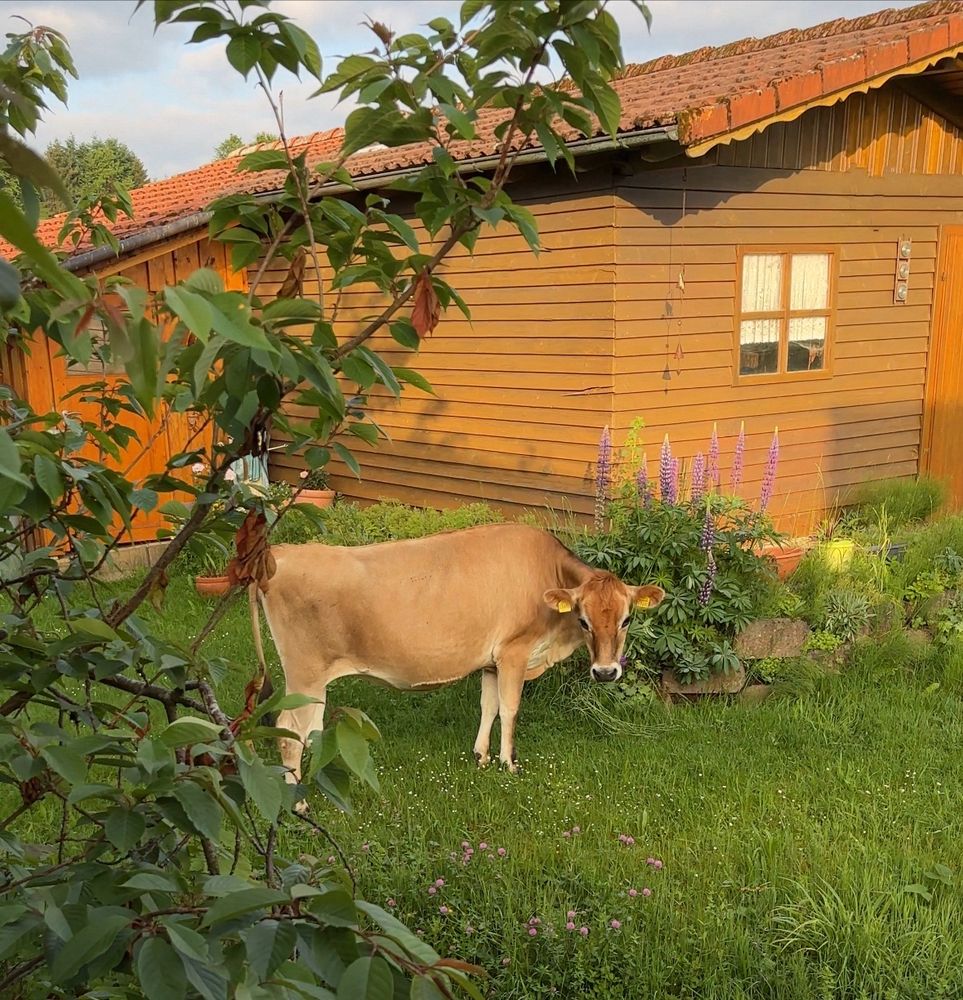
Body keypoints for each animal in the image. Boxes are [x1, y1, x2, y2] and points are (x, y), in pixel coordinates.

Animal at [251, 523, 664, 795]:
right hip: (304, 672)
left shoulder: (491, 661)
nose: (606, 672)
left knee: (310, 728)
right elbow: (510, 708)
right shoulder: (514, 651)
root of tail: (277, 556)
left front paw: (481, 756)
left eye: (627, 619)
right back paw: (297, 801)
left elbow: (489, 706)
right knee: (289, 728)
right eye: (583, 619)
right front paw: (508, 764)